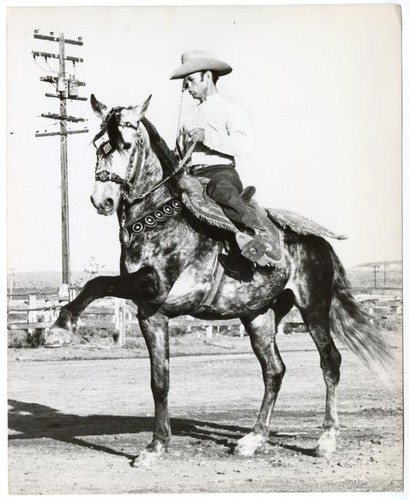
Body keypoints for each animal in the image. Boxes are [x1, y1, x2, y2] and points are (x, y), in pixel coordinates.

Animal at [44, 94, 388, 468]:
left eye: (125, 144)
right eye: (98, 145)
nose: (102, 199)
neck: (158, 217)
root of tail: (320, 242)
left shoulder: (154, 284)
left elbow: (97, 283)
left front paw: (60, 326)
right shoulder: (151, 313)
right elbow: (160, 381)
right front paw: (156, 446)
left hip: (313, 306)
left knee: (330, 362)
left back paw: (326, 440)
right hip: (259, 316)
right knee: (274, 370)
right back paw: (253, 439)